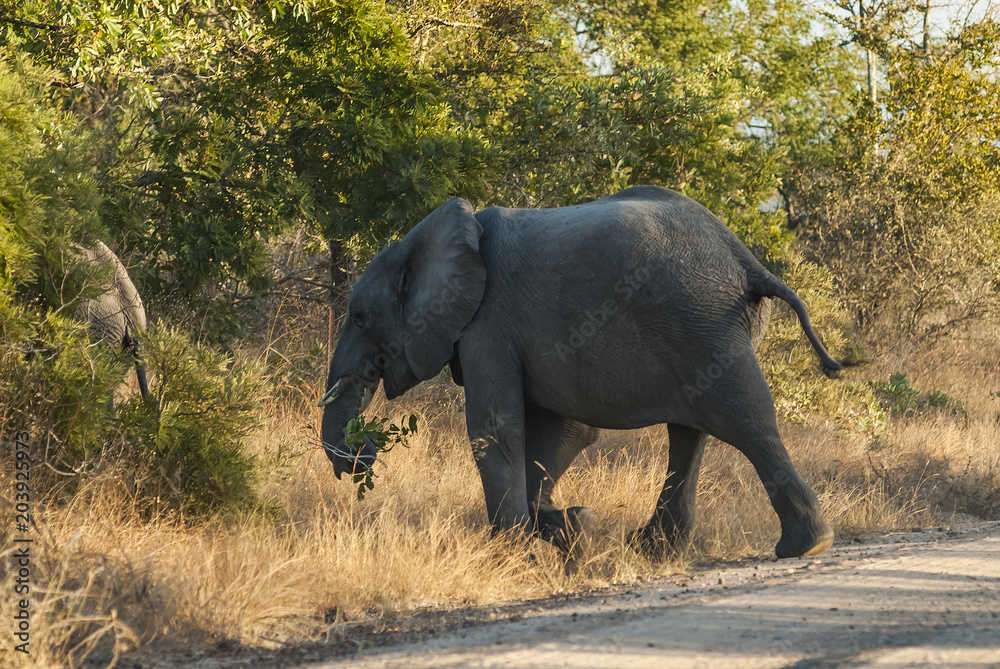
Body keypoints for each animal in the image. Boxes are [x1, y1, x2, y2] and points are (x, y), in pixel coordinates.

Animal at [319, 185, 841, 571]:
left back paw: (804, 547)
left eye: (360, 317)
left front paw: (514, 557)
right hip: (703, 327)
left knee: (742, 419)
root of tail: (746, 260)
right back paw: (653, 550)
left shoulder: (487, 323)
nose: (364, 459)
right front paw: (571, 527)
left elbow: (497, 428)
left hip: (699, 319)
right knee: (693, 429)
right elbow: (564, 432)